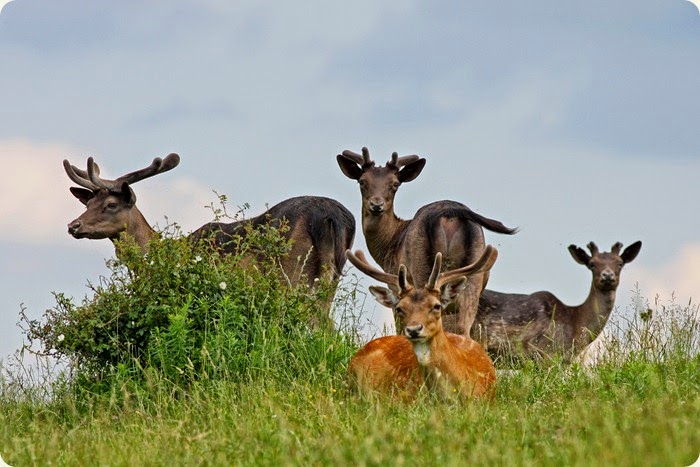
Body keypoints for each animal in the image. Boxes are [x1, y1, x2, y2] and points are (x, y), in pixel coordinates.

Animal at [63, 154, 356, 292]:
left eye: (111, 205)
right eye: (88, 203)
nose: (73, 226)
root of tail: (333, 215)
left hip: (293, 273)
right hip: (331, 274)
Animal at [336, 146, 516, 336]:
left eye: (395, 184)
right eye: (362, 181)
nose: (376, 205)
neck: (390, 243)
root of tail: (450, 213)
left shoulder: (394, 283)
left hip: (421, 265)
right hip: (475, 268)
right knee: (464, 326)